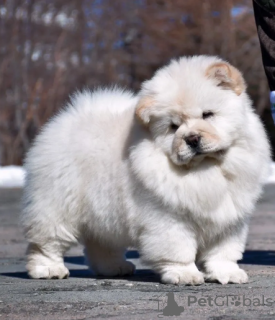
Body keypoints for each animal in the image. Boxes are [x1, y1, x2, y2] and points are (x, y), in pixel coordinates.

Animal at [22, 55, 272, 284]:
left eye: (207, 114)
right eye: (174, 127)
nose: (191, 138)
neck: (206, 169)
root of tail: (63, 121)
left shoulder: (229, 218)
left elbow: (223, 251)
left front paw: (227, 274)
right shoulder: (168, 216)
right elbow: (178, 249)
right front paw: (184, 275)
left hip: (104, 210)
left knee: (101, 243)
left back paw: (114, 268)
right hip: (59, 205)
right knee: (46, 241)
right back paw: (49, 269)